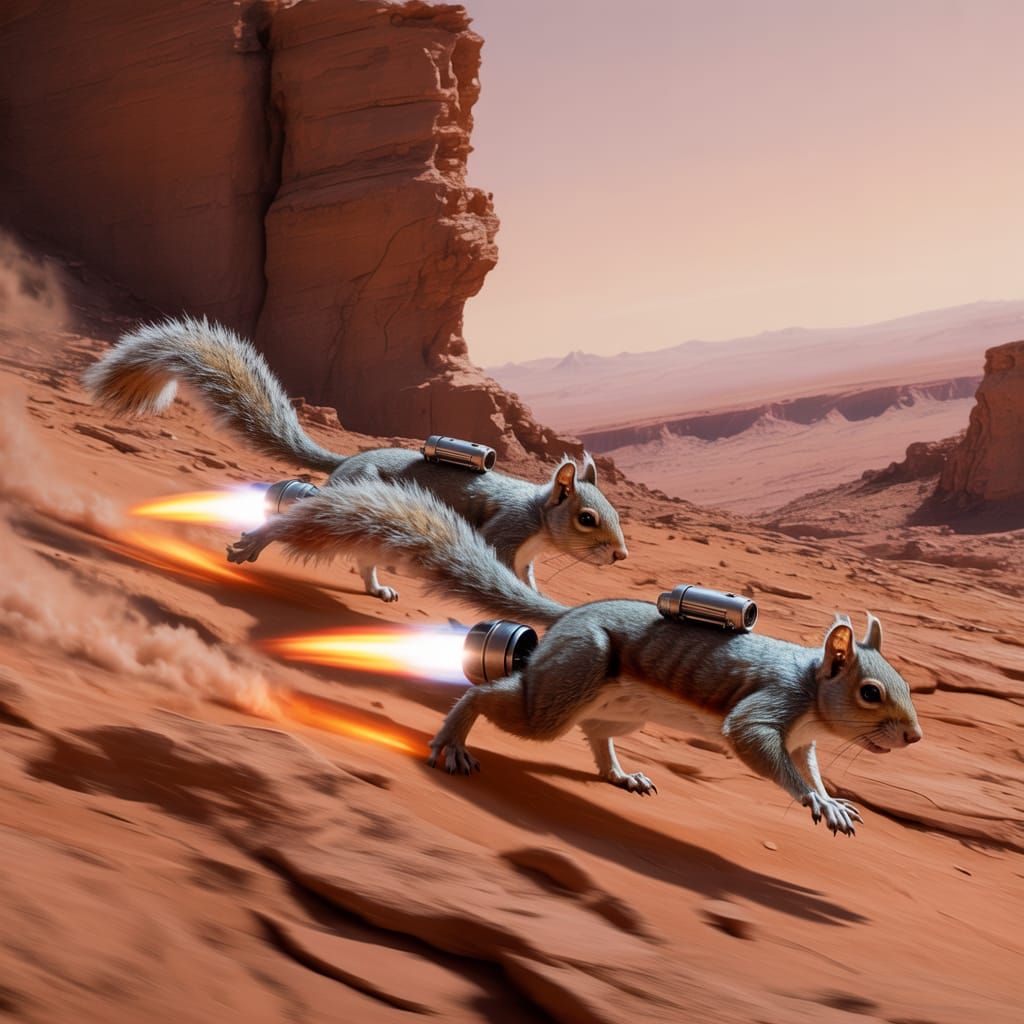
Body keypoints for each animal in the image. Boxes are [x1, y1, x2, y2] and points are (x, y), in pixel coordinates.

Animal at [84, 316, 628, 602]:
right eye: (586, 518)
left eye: (617, 515)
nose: (621, 556)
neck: (538, 516)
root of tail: (346, 464)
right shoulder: (505, 532)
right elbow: (498, 568)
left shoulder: (527, 554)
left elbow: (528, 579)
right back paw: (258, 543)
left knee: (363, 560)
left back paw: (378, 589)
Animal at [226, 479, 924, 837]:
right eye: (870, 692)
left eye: (905, 685)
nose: (914, 737)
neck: (812, 687)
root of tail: (566, 619)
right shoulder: (770, 706)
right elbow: (756, 745)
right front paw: (817, 804)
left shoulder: (804, 738)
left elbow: (810, 767)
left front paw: (830, 797)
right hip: (566, 685)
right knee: (491, 697)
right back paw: (453, 741)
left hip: (620, 708)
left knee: (597, 736)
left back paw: (621, 775)